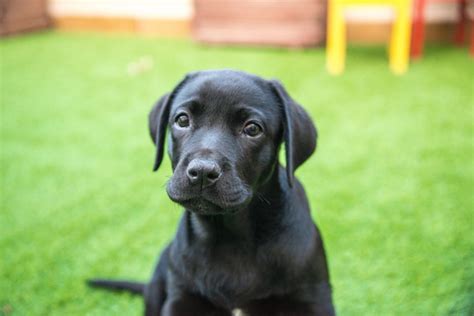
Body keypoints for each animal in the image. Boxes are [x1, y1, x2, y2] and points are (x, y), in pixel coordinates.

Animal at [88, 70, 334, 314]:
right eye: (182, 120)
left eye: (252, 128)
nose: (202, 172)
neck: (230, 235)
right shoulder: (181, 297)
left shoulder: (313, 298)